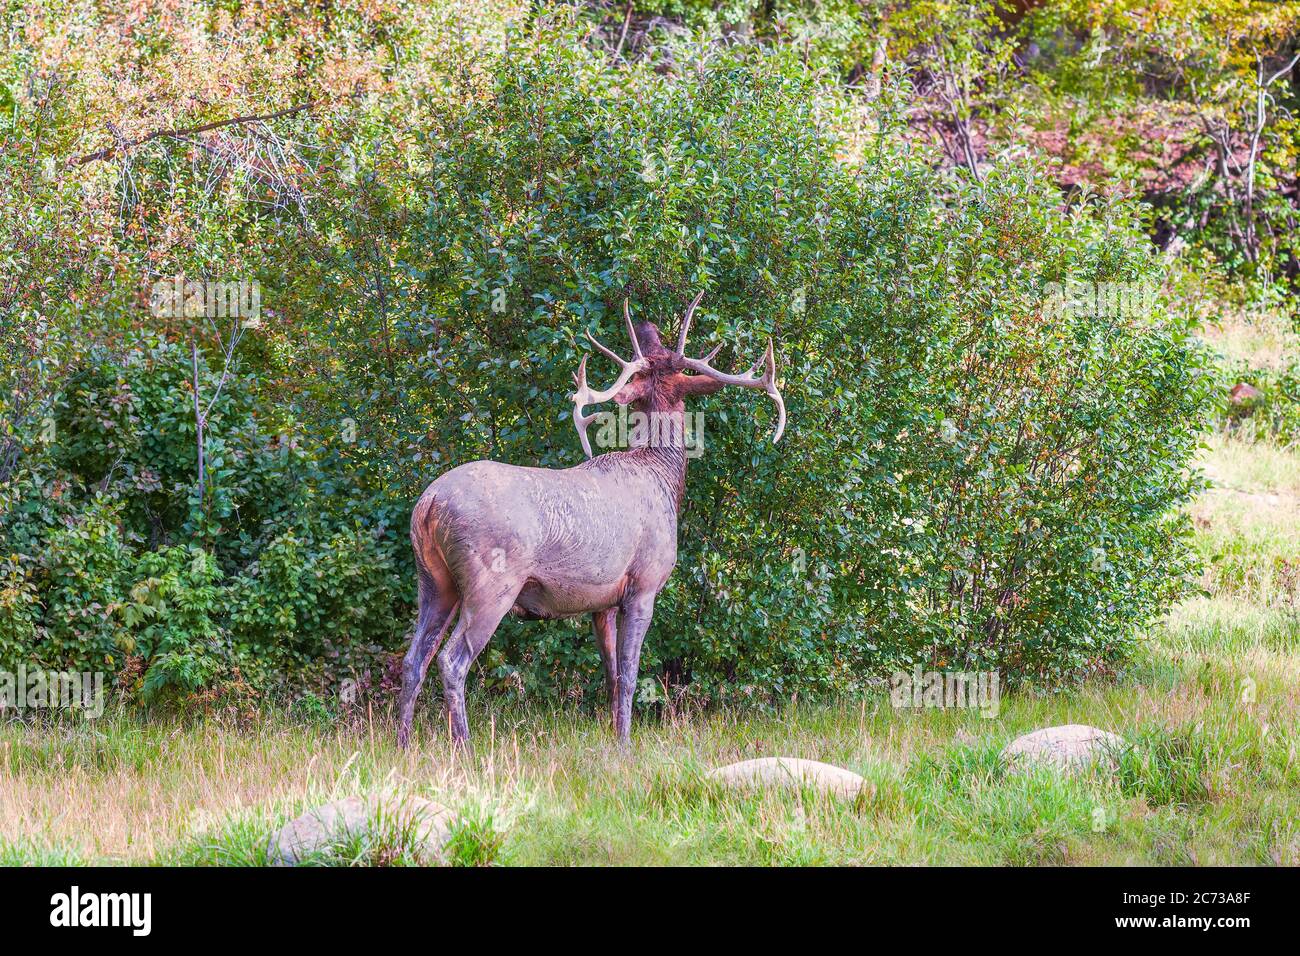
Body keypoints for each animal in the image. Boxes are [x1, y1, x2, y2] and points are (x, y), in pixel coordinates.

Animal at [395, 291, 780, 749]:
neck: (664, 476)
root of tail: (428, 504)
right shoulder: (644, 583)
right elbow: (630, 675)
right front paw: (627, 745)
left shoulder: (603, 602)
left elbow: (611, 675)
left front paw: (615, 738)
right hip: (490, 582)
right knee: (452, 660)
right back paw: (465, 747)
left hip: (434, 581)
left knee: (412, 659)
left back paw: (401, 745)